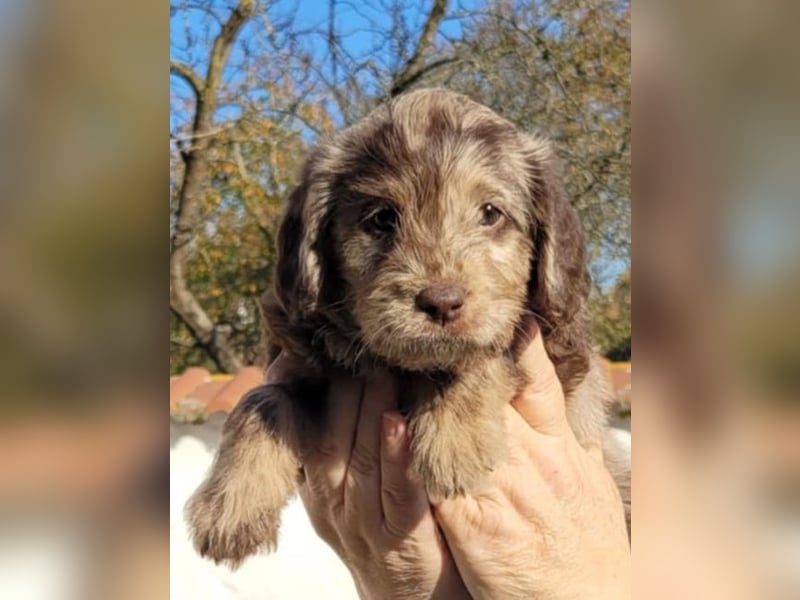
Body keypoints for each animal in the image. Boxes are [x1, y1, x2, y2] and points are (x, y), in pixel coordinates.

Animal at [188, 86, 632, 564]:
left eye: (491, 213)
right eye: (382, 217)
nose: (442, 303)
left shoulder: (554, 345)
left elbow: (486, 354)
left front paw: (454, 444)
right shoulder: (298, 358)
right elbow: (261, 400)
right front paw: (229, 508)